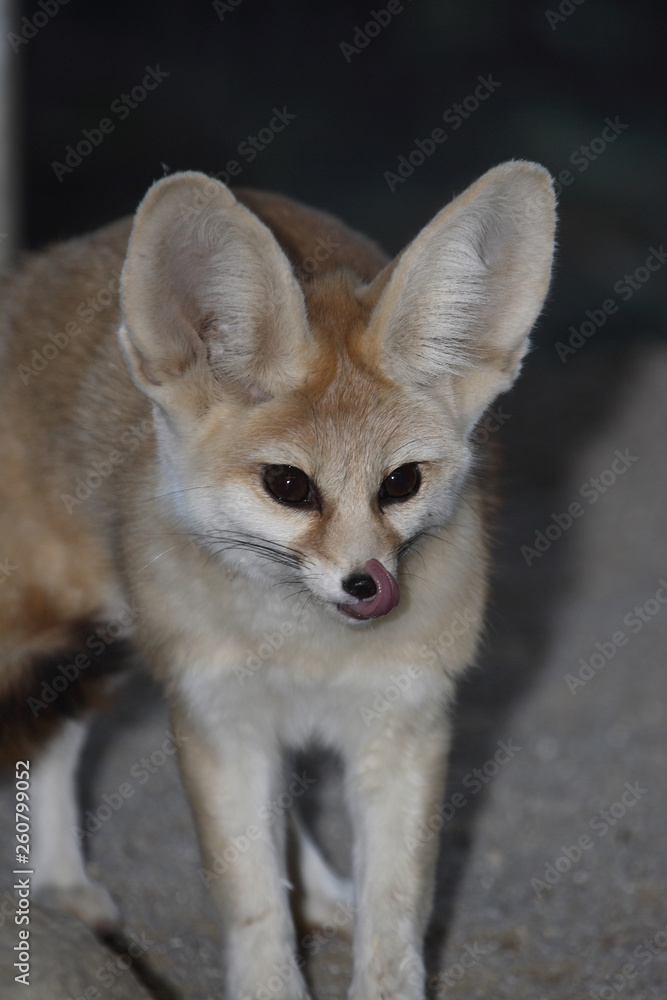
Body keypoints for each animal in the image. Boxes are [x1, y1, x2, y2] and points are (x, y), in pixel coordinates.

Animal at [0, 162, 556, 999]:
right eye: (288, 486)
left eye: (401, 483)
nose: (368, 585)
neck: (308, 649)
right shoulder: (216, 721)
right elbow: (253, 904)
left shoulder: (405, 723)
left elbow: (395, 913)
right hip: (65, 634)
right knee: (53, 742)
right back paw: (60, 882)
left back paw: (318, 892)